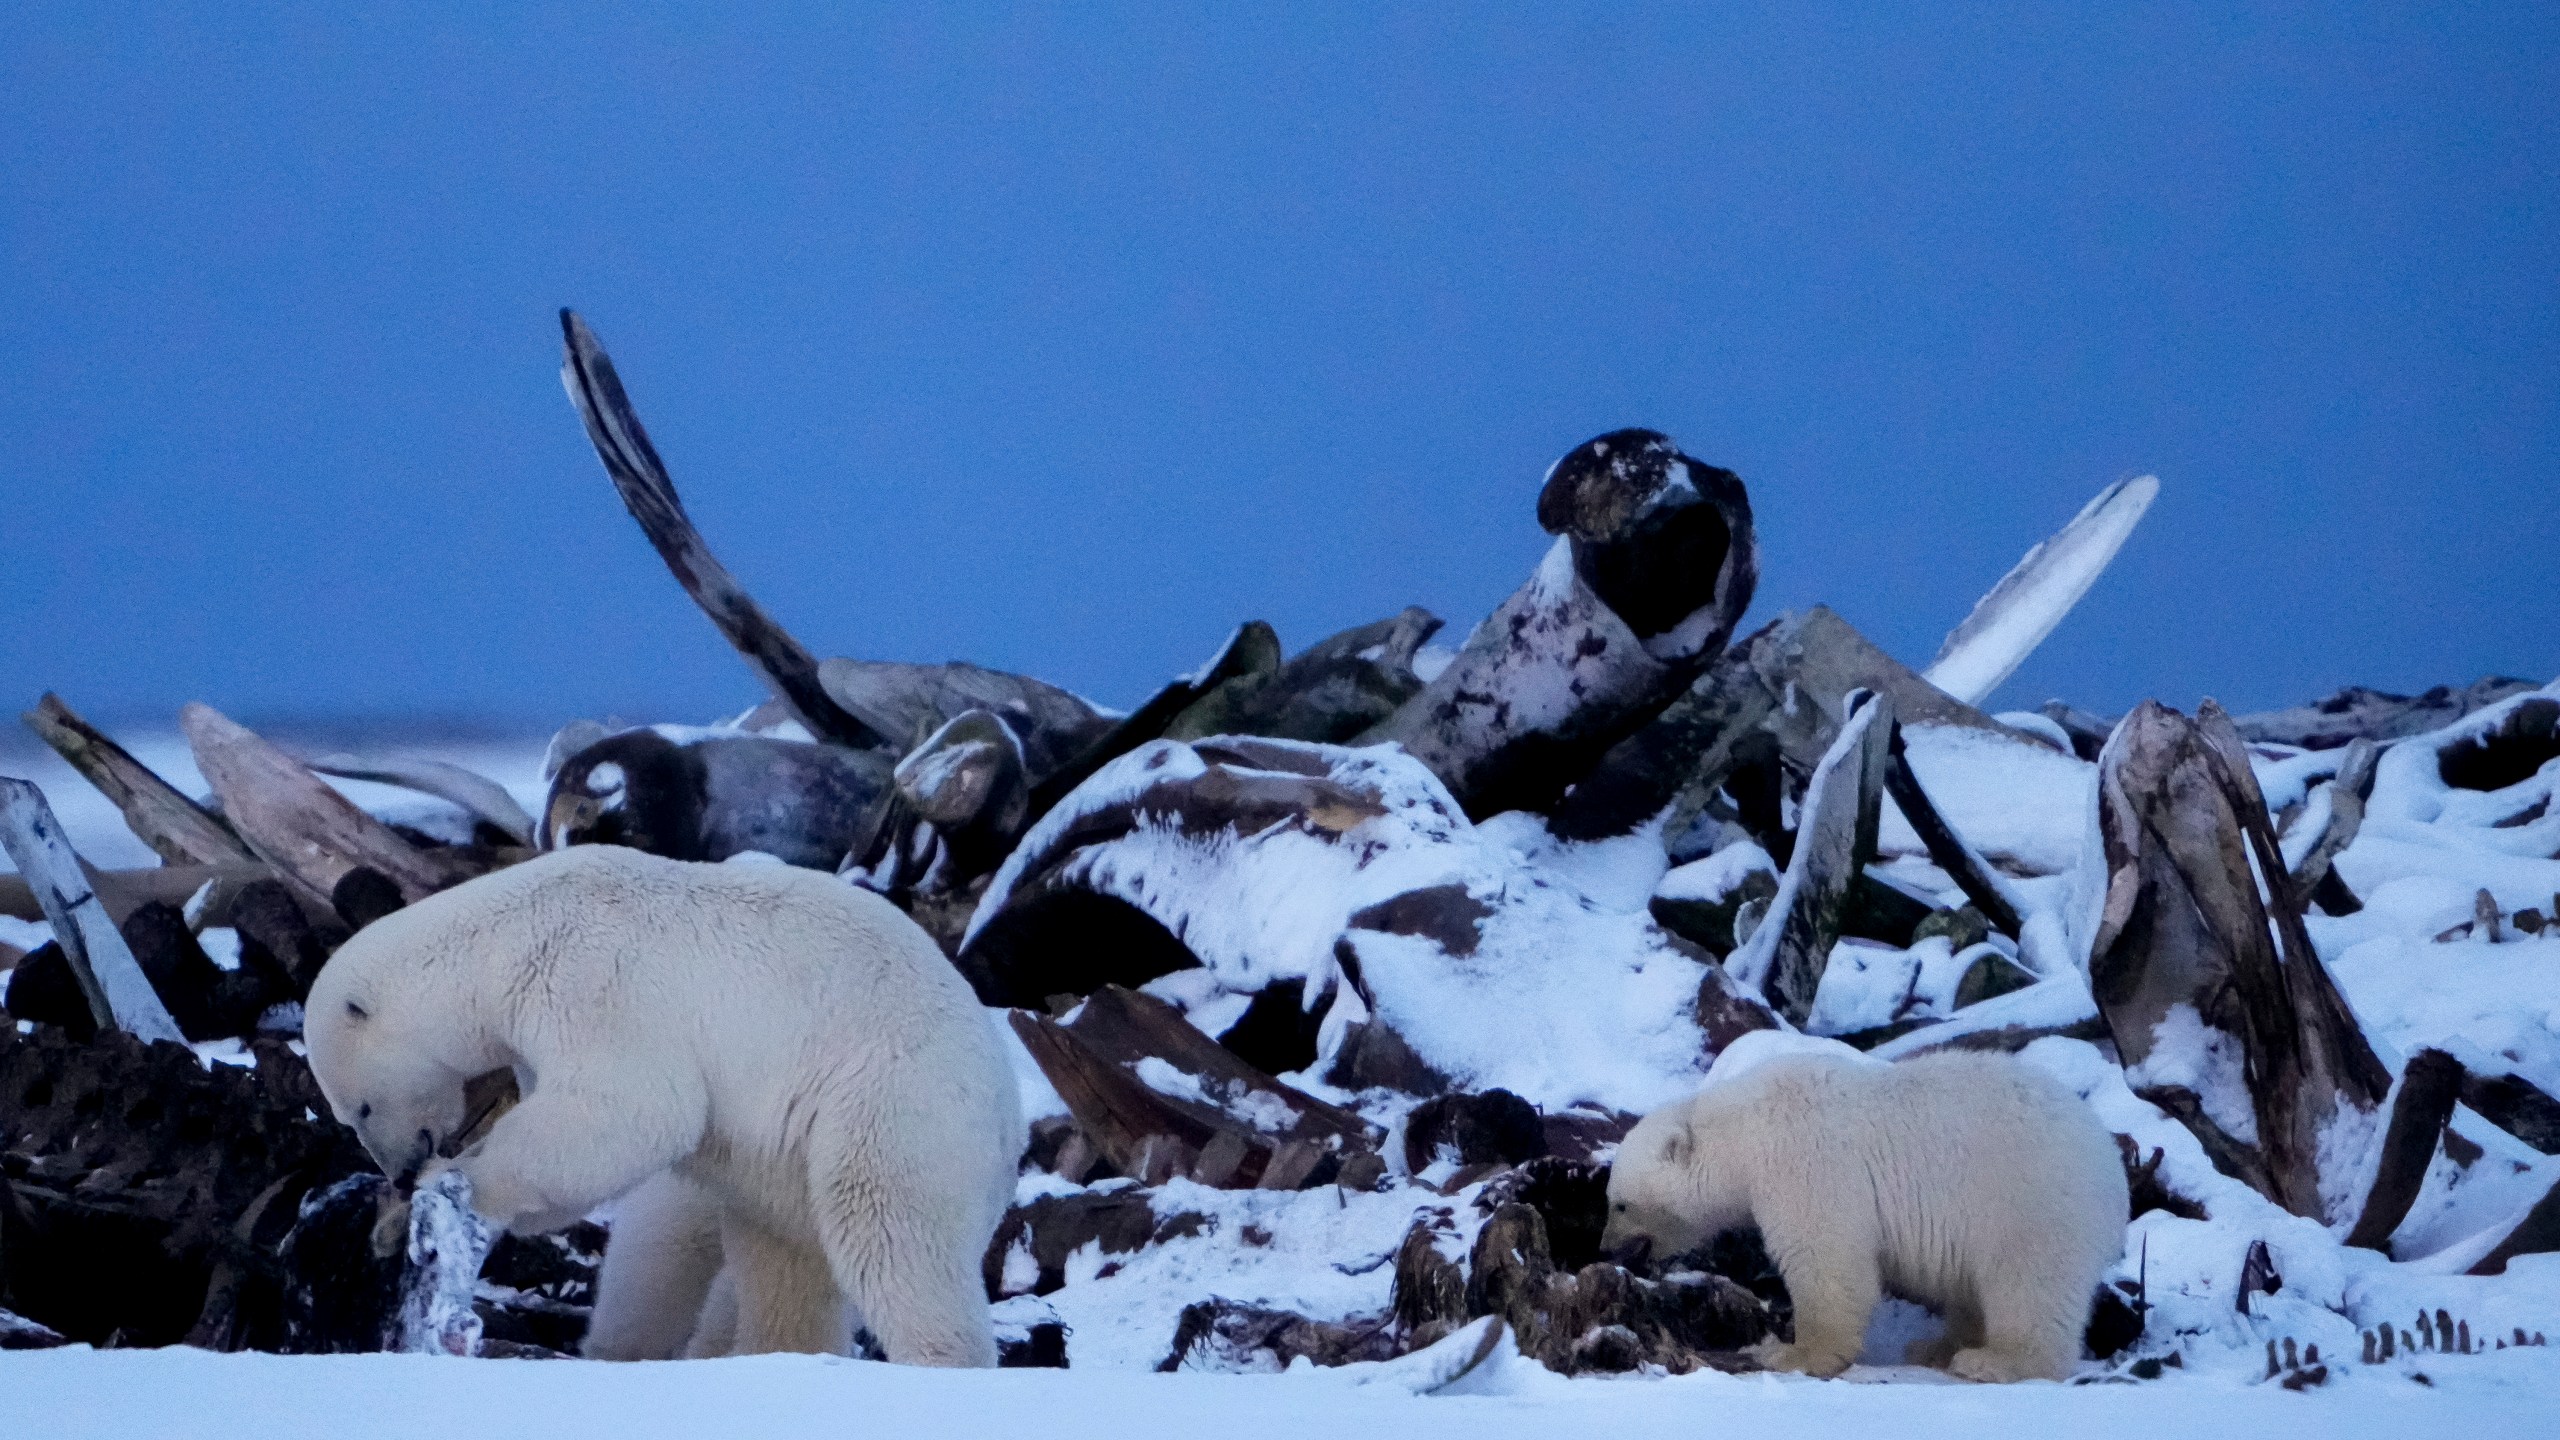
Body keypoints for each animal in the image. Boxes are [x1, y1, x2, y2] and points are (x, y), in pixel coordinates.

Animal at [307, 845, 1008, 1363]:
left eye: (357, 1109)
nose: (397, 1170)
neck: (505, 935)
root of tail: (1008, 1110)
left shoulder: (592, 980)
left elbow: (632, 1109)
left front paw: (455, 1178)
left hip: (892, 1101)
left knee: (890, 1232)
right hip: (789, 1158)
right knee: (784, 1256)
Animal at [1597, 1030, 2119, 1383]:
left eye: (1620, 1205)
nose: (1604, 1248)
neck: (1742, 1130)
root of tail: (2107, 1155)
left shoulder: (1804, 1160)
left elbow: (1826, 1258)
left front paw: (1789, 1352)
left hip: (2029, 1200)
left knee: (2028, 1284)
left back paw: (1993, 1360)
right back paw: (1934, 1346)